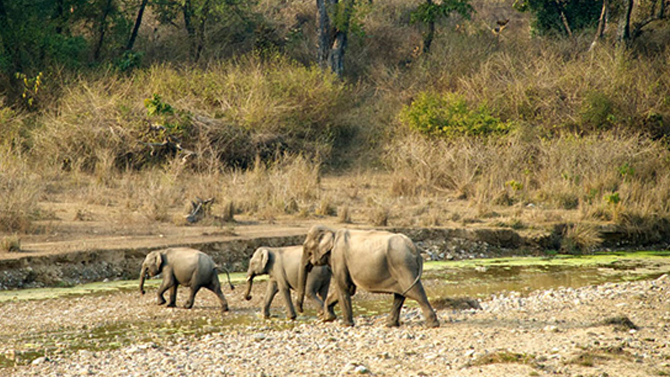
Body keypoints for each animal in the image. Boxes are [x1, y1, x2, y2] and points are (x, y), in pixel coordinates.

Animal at [300, 225, 440, 328]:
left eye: (306, 247)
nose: (301, 311)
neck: (332, 231)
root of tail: (415, 247)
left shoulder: (338, 257)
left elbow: (344, 287)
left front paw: (345, 325)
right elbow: (348, 288)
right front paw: (328, 318)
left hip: (403, 264)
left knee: (415, 292)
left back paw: (432, 325)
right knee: (401, 294)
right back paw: (390, 324)